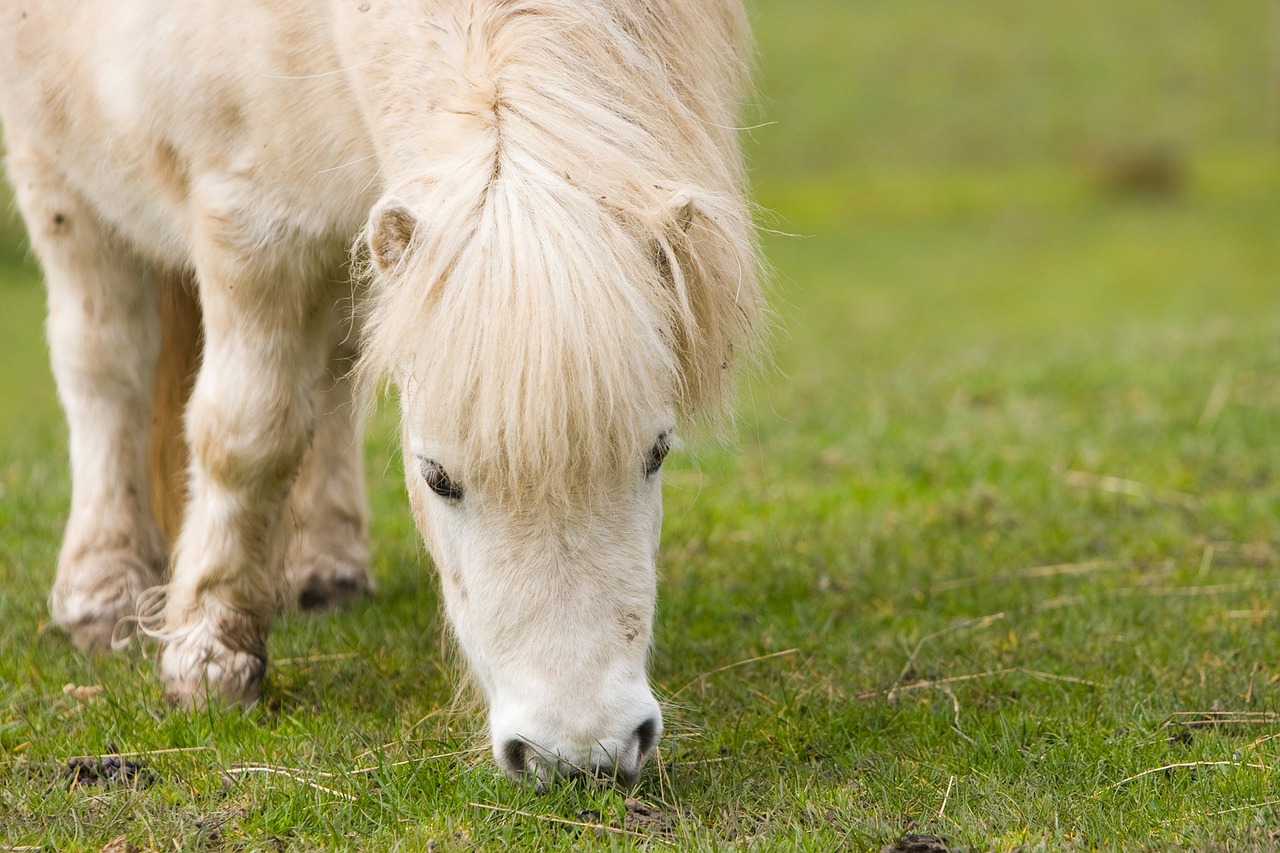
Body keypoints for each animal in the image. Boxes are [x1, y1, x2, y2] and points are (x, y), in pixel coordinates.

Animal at [0, 0, 757, 783]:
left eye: (657, 453)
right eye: (437, 477)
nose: (581, 755)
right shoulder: (246, 221)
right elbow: (247, 436)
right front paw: (209, 658)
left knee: (329, 369)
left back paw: (324, 567)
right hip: (57, 177)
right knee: (104, 366)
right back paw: (102, 590)